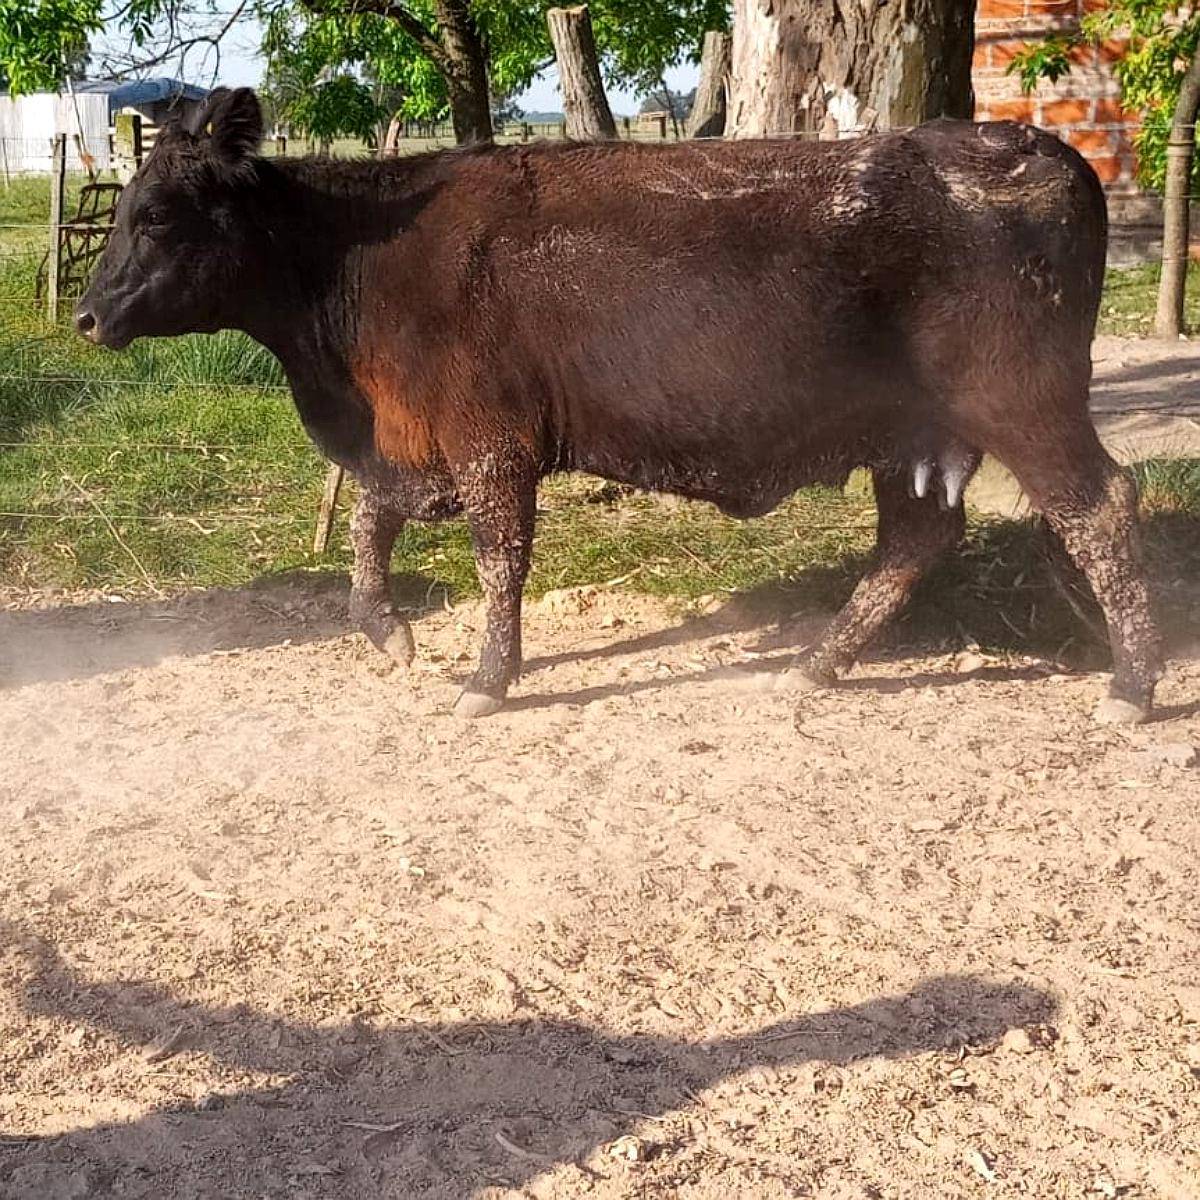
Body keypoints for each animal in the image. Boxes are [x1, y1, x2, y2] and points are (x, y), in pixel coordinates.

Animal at [75, 87, 1162, 724]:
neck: (360, 263)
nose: (86, 315)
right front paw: (387, 630)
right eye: (118, 208)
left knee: (1101, 509)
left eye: (158, 214)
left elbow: (497, 561)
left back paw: (1131, 687)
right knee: (916, 538)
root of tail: (1030, 144)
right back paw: (817, 664)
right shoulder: (413, 441)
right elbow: (370, 526)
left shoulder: (491, 443)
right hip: (912, 436)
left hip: (1024, 405)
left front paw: (486, 680)